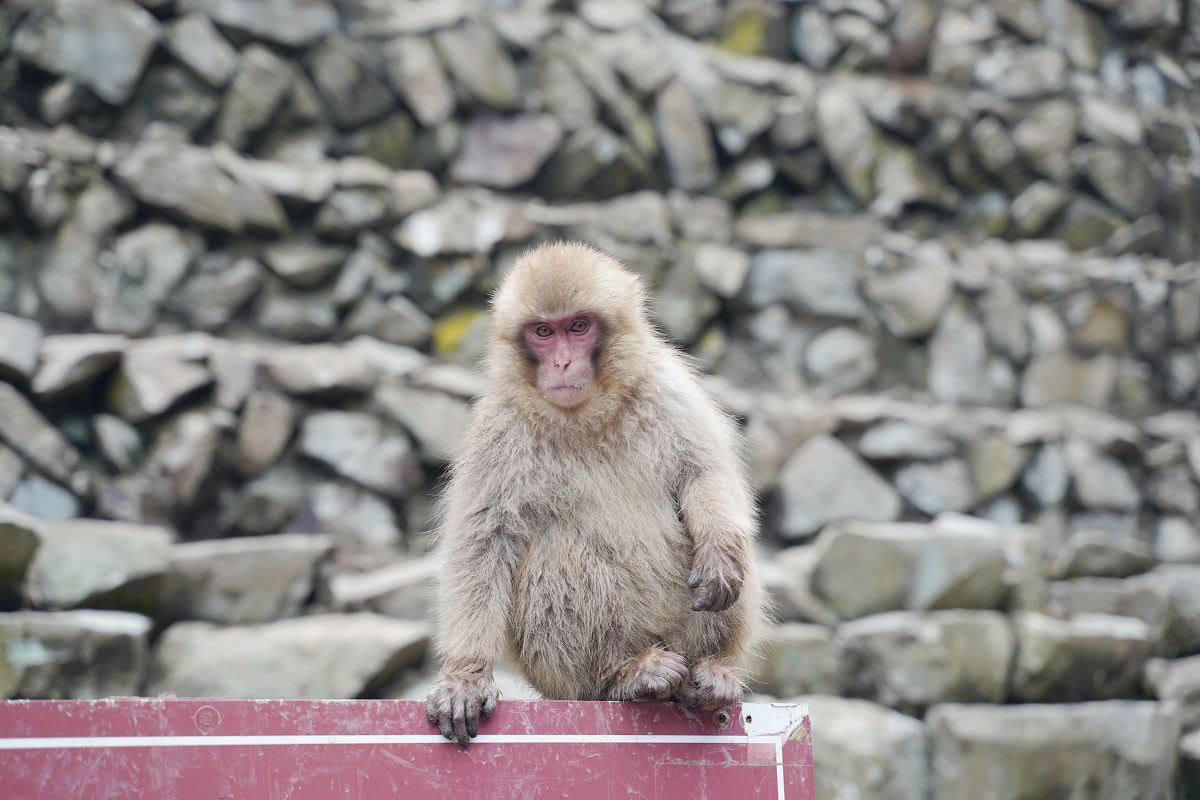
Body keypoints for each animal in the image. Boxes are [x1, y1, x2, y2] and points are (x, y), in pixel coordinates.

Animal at [424, 241, 765, 746]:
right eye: (544, 332)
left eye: (579, 327)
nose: (563, 363)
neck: (586, 416)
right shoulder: (499, 430)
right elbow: (484, 542)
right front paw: (465, 676)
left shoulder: (666, 385)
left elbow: (703, 472)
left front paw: (719, 551)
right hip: (564, 678)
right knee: (558, 550)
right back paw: (626, 676)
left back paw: (714, 670)